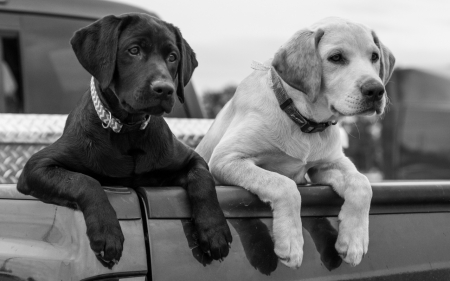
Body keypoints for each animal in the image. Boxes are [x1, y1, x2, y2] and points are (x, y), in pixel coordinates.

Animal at [16, 13, 232, 266]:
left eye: (172, 57)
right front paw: (107, 232)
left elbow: (203, 180)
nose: (165, 89)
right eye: (134, 50)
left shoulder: (191, 159)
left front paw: (214, 230)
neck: (128, 131)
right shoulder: (37, 166)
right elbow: (85, 181)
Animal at [196, 17, 394, 266]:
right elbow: (283, 184)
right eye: (336, 57)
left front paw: (354, 241)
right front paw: (290, 242)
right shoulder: (226, 158)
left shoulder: (329, 163)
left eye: (374, 56)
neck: (303, 121)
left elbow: (362, 183)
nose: (376, 90)